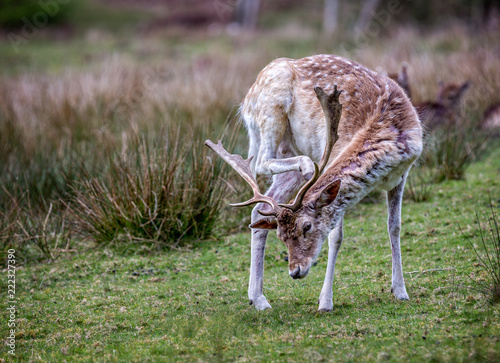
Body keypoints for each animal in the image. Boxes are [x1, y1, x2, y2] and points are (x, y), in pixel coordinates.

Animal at [206, 54, 422, 312]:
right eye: (282, 237)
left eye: (306, 227)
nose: (295, 271)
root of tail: (245, 102)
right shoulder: (336, 154)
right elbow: (336, 237)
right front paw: (325, 302)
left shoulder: (402, 175)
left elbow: (394, 227)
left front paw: (400, 291)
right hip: (270, 113)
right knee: (260, 162)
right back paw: (307, 166)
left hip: (288, 153)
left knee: (260, 209)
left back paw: (258, 299)